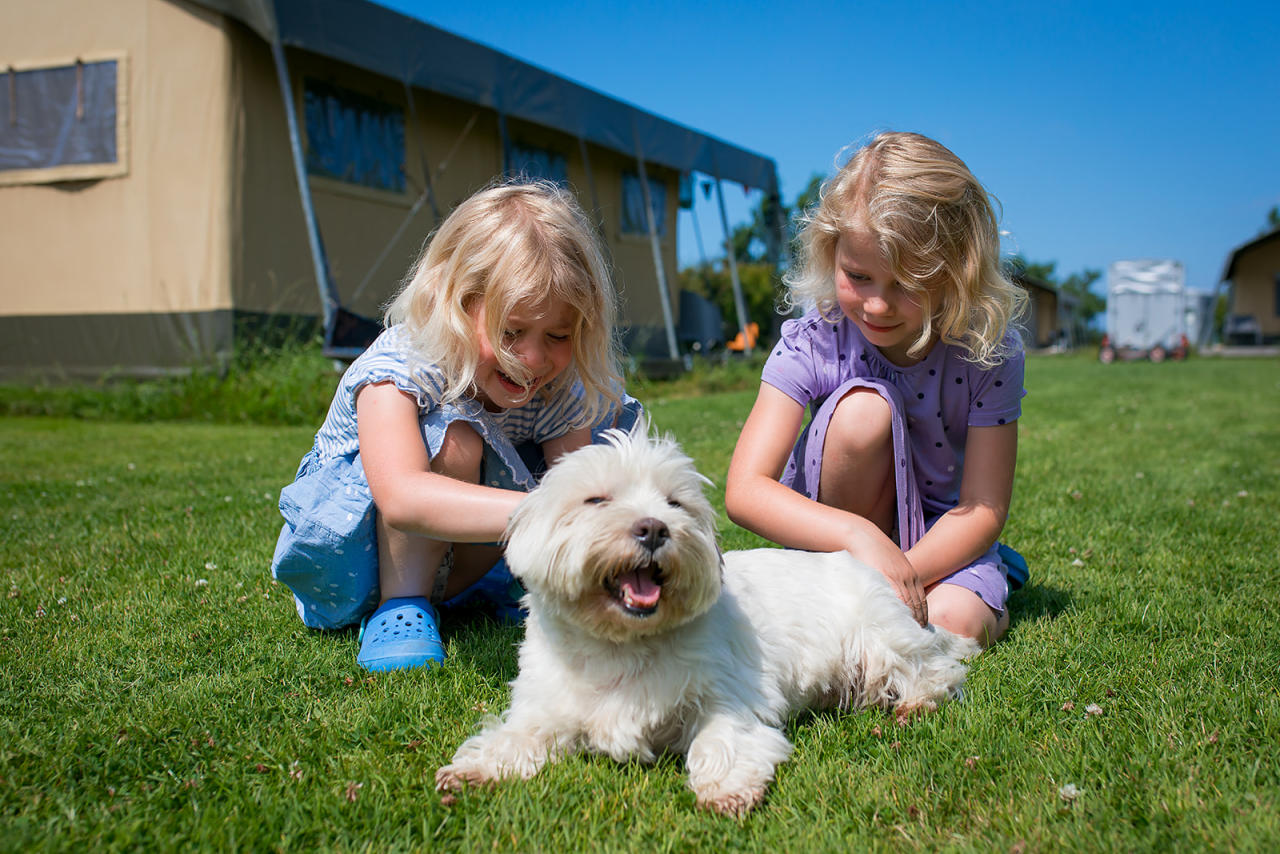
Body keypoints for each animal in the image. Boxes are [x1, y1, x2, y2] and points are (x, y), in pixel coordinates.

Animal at [435, 425, 972, 814]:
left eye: (675, 503)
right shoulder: (546, 706)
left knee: (934, 671)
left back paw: (914, 703)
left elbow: (720, 740)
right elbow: (515, 736)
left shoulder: (732, 697)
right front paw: (473, 768)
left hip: (880, 638)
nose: (654, 528)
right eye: (596, 500)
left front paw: (726, 787)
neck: (622, 644)